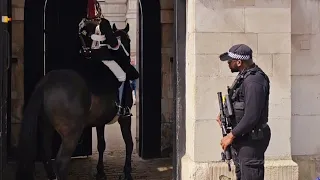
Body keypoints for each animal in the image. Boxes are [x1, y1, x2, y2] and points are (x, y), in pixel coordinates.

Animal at [15, 18, 138, 180]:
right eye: (128, 40)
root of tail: (46, 83)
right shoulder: (125, 118)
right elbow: (129, 143)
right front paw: (127, 172)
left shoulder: (100, 121)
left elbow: (101, 144)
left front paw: (100, 171)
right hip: (71, 133)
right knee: (61, 161)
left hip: (46, 126)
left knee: (46, 153)